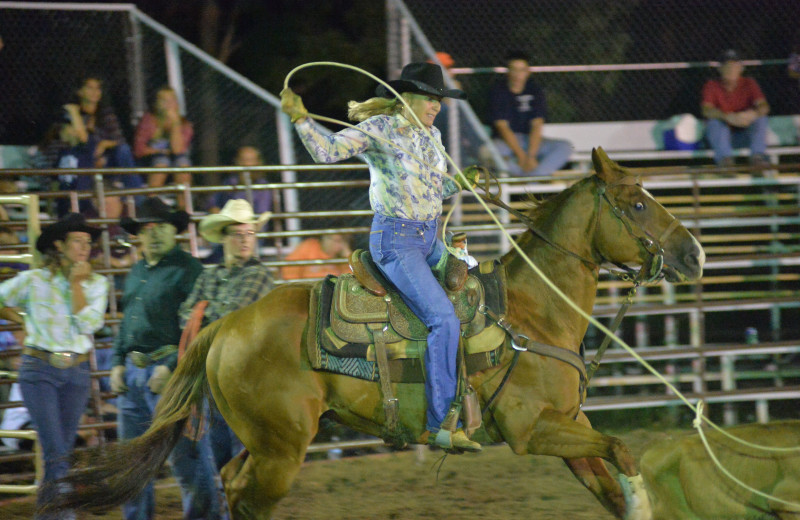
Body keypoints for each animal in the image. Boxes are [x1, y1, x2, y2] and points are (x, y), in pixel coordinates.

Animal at [50, 147, 704, 520]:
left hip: (265, 441)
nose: (694, 254)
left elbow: (612, 479)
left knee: (230, 483)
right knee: (246, 498)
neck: (531, 311)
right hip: (282, 448)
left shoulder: (569, 425)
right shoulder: (531, 431)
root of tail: (225, 324)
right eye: (637, 204)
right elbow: (623, 454)